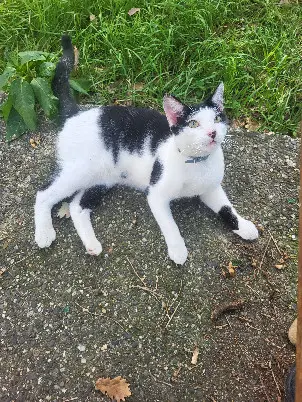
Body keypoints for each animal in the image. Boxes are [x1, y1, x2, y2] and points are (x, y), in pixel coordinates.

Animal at [34, 34, 258, 266]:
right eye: (194, 124)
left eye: (217, 118)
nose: (212, 133)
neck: (196, 161)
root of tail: (75, 113)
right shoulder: (156, 194)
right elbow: (170, 224)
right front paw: (178, 250)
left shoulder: (211, 189)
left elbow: (227, 208)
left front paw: (243, 225)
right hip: (81, 169)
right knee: (43, 194)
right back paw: (44, 233)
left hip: (102, 177)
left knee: (77, 207)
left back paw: (92, 244)